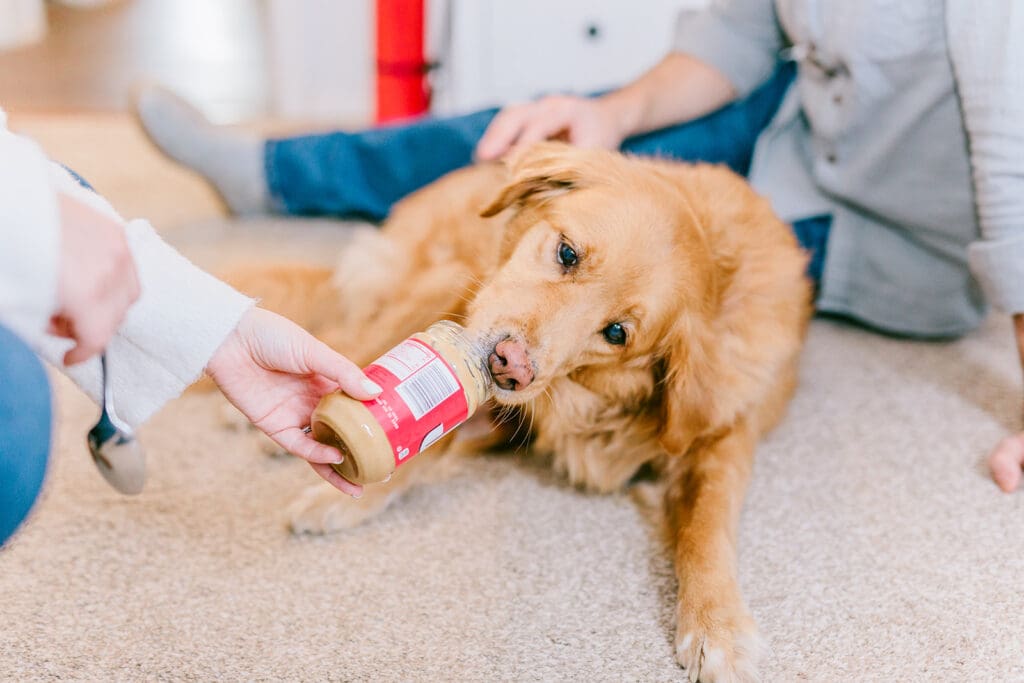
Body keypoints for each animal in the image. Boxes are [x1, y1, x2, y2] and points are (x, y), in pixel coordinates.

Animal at [224, 141, 806, 679]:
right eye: (567, 254)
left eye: (617, 333)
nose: (510, 367)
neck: (587, 399)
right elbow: (424, 449)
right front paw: (340, 495)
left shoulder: (723, 439)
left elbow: (706, 524)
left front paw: (717, 626)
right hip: (451, 282)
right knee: (348, 337)